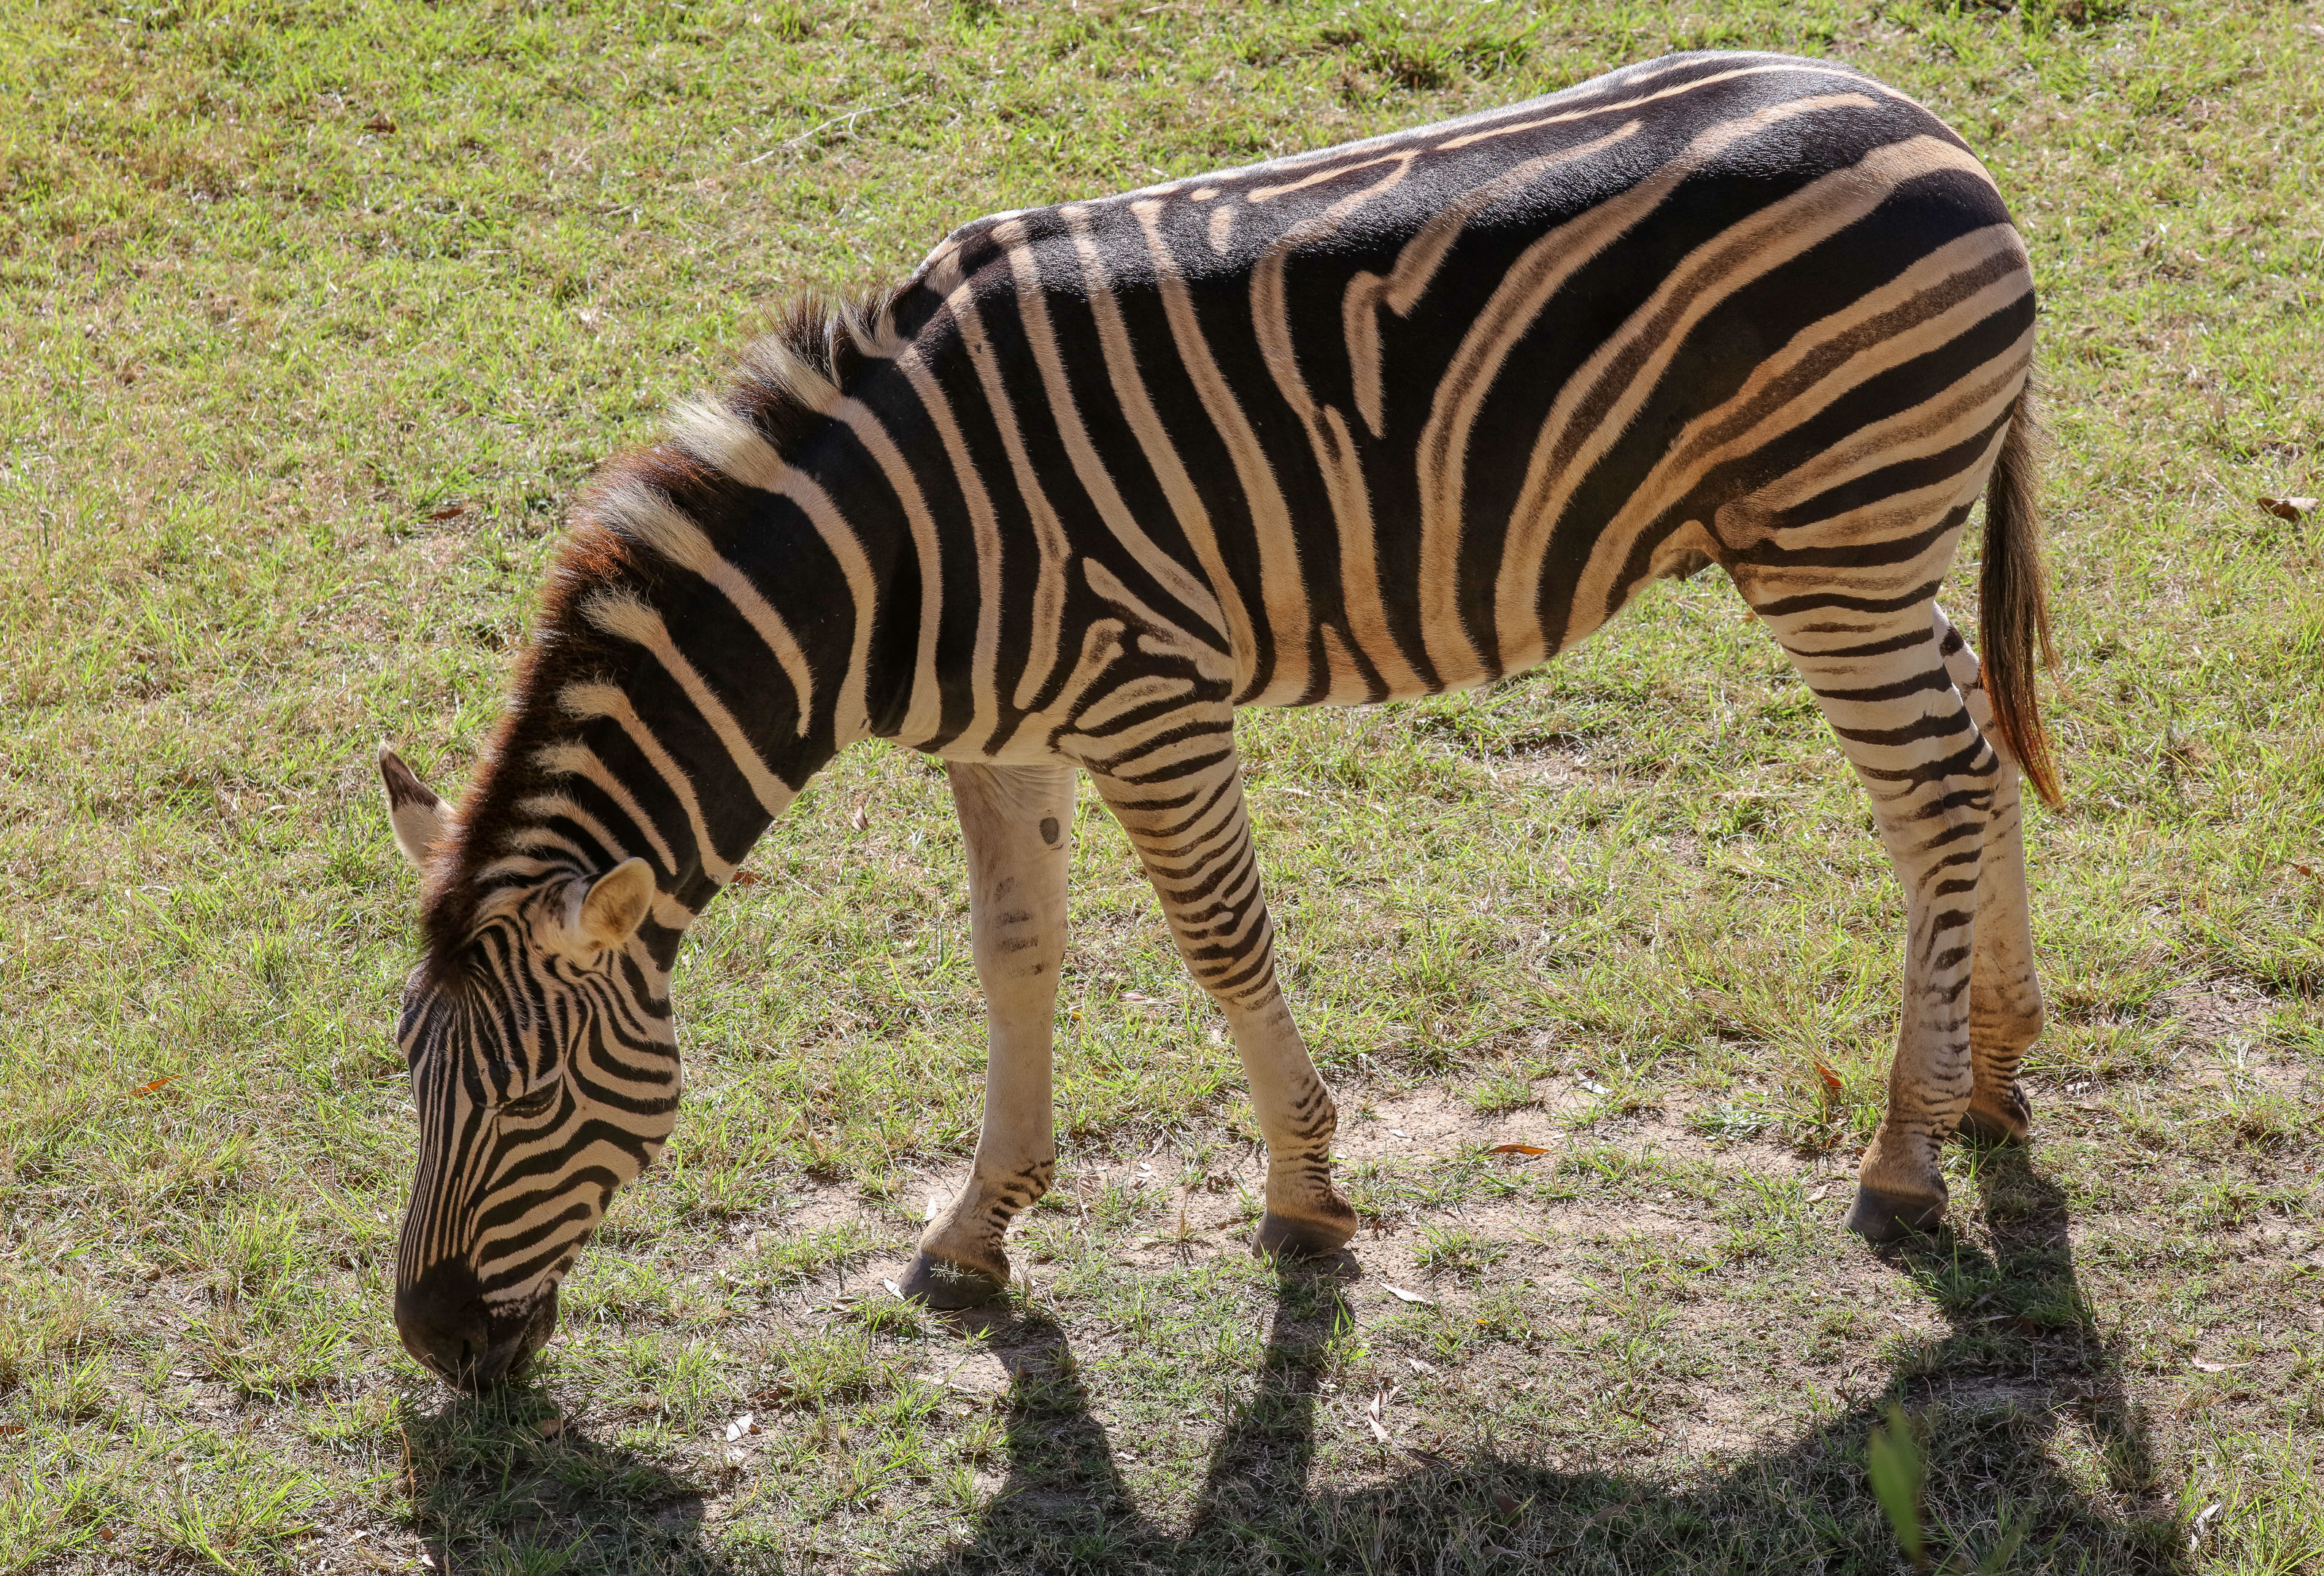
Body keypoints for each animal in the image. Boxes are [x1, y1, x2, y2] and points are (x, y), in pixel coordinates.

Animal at [378, 49, 2058, 1390]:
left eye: (529, 1096)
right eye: (406, 1073)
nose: (432, 1341)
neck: (886, 561)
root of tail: (1925, 121)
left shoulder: (1149, 699)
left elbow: (1220, 942)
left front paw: (1304, 1199)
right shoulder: (1002, 738)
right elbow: (1013, 956)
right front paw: (976, 1230)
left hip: (1837, 536)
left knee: (1930, 799)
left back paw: (1905, 1155)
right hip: (1870, 549)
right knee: (1977, 755)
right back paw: (1993, 1075)